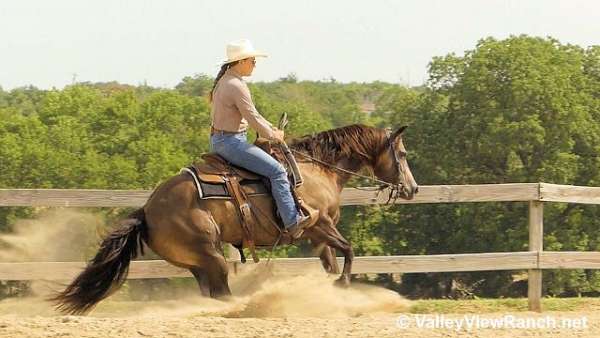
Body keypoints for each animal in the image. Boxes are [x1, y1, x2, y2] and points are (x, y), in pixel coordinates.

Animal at [50, 123, 418, 314]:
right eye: (401, 154)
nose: (413, 188)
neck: (317, 169)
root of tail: (147, 210)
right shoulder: (319, 224)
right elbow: (349, 249)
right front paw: (342, 286)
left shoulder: (316, 235)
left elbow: (330, 260)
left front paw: (334, 290)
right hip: (211, 253)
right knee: (222, 292)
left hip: (197, 262)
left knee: (209, 292)